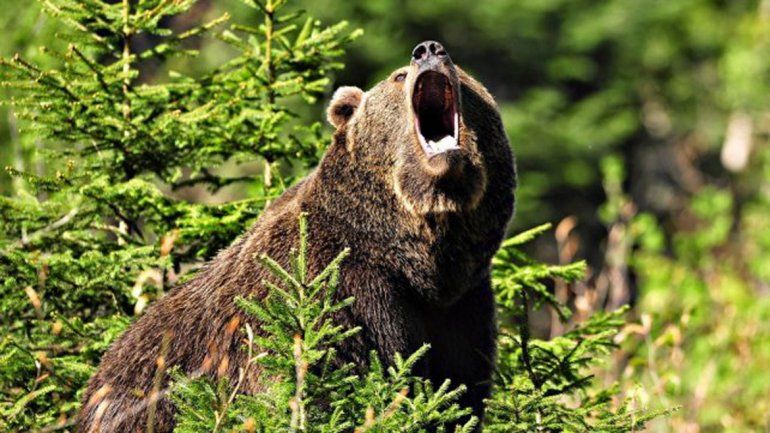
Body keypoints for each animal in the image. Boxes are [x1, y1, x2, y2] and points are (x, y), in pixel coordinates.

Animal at [77, 40, 515, 433]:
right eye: (398, 76)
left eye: (464, 76)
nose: (429, 50)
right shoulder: (334, 289)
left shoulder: (462, 309)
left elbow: (455, 393)